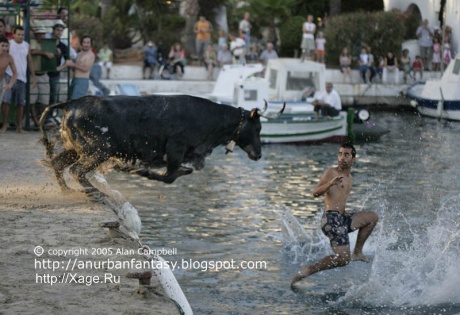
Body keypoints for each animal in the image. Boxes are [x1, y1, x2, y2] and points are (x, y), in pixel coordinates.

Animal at [39, 94, 284, 194]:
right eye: (258, 128)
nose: (258, 154)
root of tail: (71, 103)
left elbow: (181, 173)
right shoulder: (175, 149)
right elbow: (169, 176)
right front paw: (139, 171)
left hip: (74, 149)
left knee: (58, 164)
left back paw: (67, 190)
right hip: (99, 150)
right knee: (77, 170)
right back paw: (95, 190)